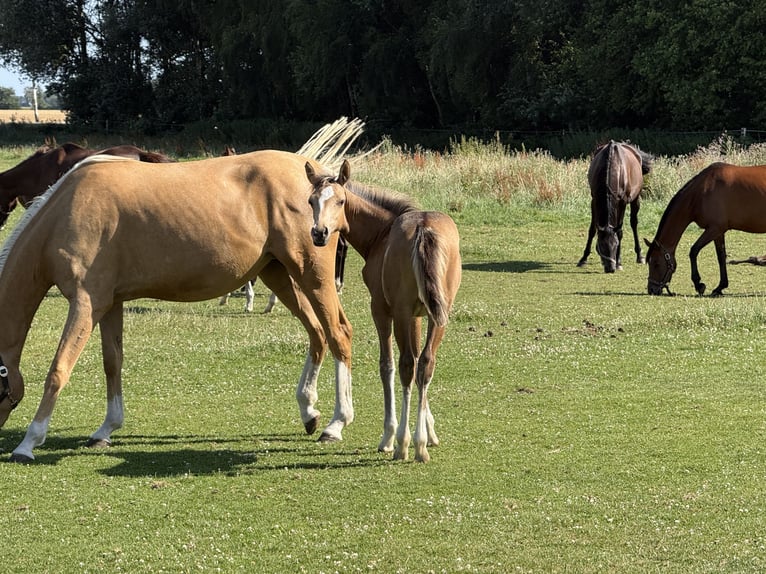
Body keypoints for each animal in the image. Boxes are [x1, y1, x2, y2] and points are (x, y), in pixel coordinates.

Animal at [305, 160, 462, 462]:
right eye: (311, 201)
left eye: (340, 201)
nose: (319, 233)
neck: (382, 233)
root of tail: (424, 229)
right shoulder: (417, 315)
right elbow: (419, 362)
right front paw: (430, 431)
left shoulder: (381, 308)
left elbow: (386, 365)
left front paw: (390, 435)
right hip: (440, 316)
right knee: (426, 363)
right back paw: (420, 444)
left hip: (398, 312)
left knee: (405, 365)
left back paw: (403, 443)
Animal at [577, 140, 653, 272]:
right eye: (601, 245)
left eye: (616, 245)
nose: (610, 268)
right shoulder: (594, 201)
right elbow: (592, 230)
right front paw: (583, 258)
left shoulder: (622, 202)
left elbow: (620, 232)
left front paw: (619, 263)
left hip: (635, 199)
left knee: (634, 223)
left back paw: (639, 256)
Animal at [646, 162, 766, 296]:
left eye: (656, 264)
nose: (651, 289)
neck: (702, 191)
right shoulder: (718, 233)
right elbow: (721, 257)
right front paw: (720, 287)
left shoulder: (714, 229)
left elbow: (693, 251)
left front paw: (699, 284)